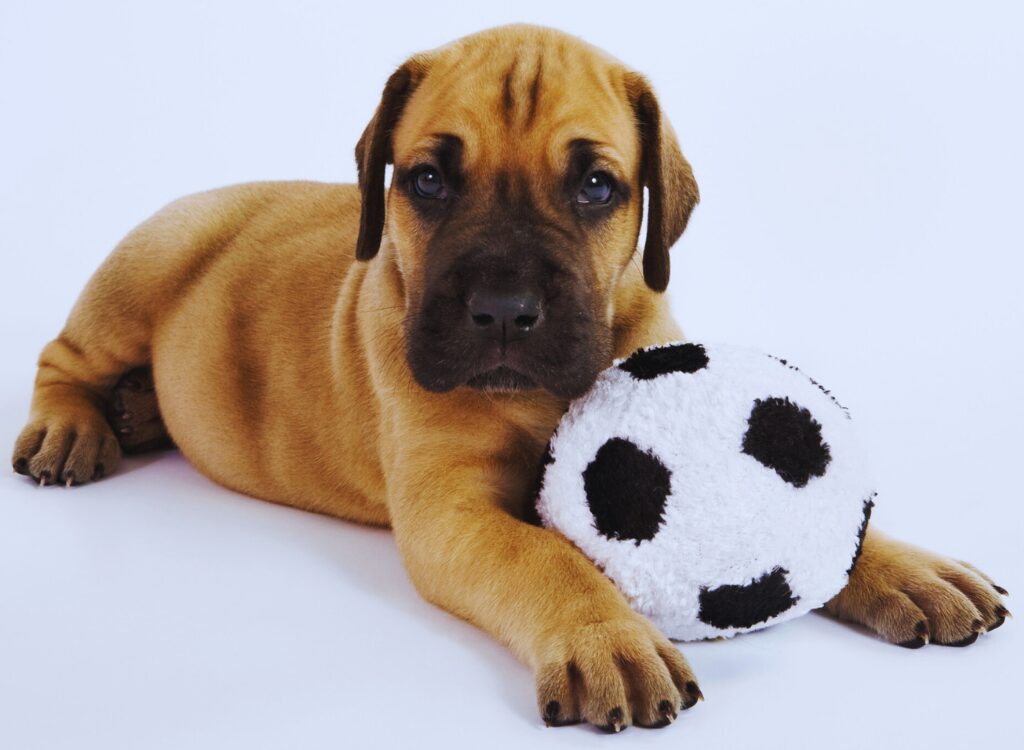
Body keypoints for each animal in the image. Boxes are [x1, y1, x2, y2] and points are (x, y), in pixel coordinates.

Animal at [12, 24, 1007, 733]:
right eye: (426, 180)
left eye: (598, 186)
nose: (501, 311)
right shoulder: (450, 510)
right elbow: (546, 558)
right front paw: (608, 636)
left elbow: (830, 521)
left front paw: (906, 567)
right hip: (143, 267)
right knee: (61, 357)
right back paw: (76, 427)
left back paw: (139, 411)